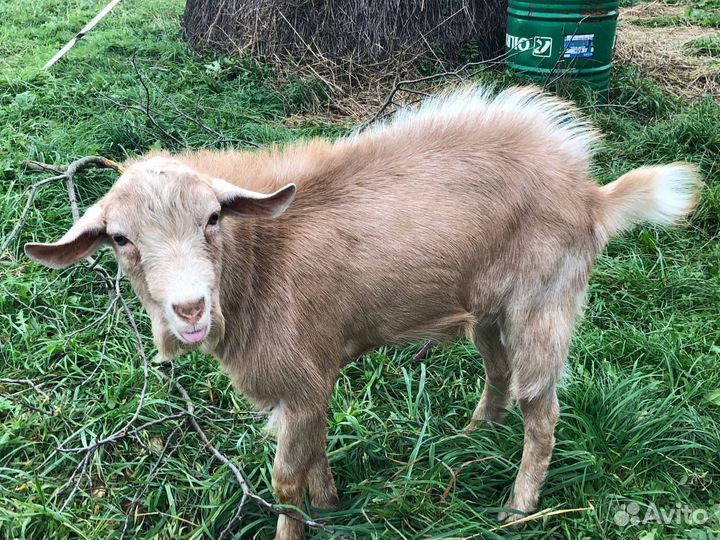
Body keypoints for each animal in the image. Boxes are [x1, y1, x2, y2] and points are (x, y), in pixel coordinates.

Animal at [25, 86, 702, 539]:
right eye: (120, 239)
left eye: (213, 218)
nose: (189, 309)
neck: (259, 259)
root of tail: (590, 196)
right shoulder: (309, 383)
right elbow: (315, 455)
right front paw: (332, 506)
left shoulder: (298, 380)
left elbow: (285, 479)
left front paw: (301, 524)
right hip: (486, 307)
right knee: (498, 372)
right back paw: (472, 435)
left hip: (544, 303)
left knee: (542, 409)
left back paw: (518, 506)